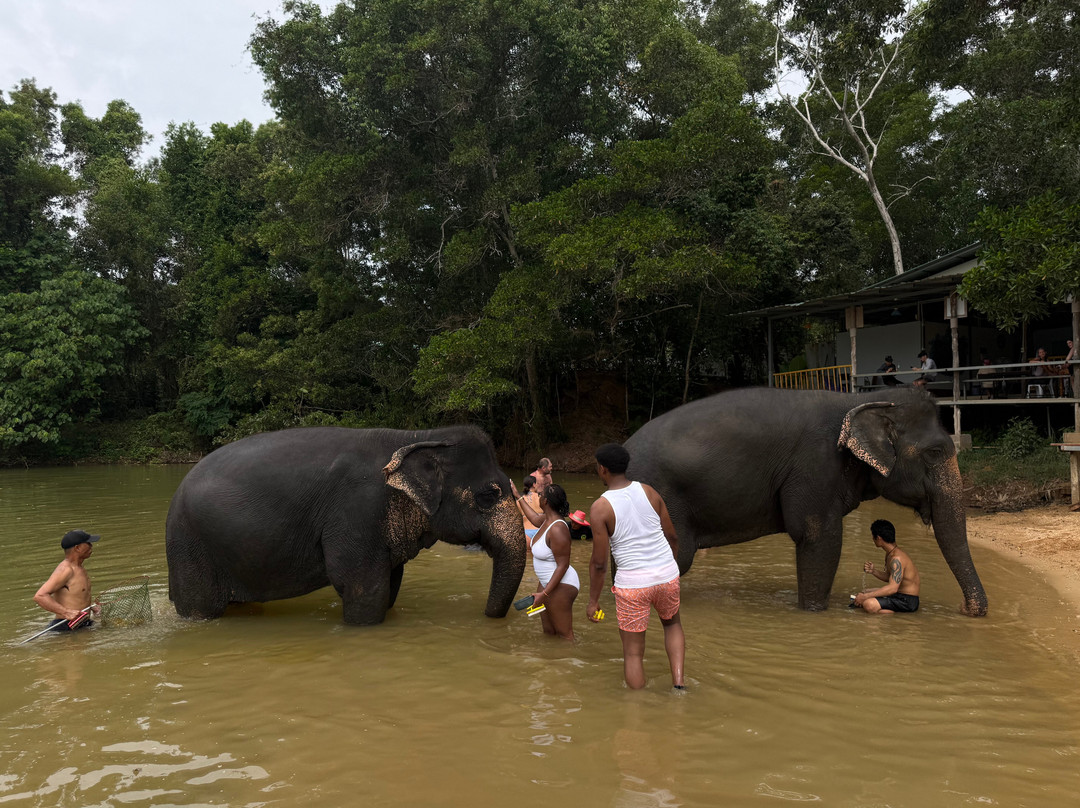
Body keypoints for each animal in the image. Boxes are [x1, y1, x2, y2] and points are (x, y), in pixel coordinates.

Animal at [165, 425, 527, 625]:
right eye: (489, 495)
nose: (483, 615)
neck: (422, 436)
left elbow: (390, 585)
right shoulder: (357, 511)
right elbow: (364, 589)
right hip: (190, 549)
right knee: (200, 609)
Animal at [624, 386, 988, 616]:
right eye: (935, 452)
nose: (966, 609)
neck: (863, 399)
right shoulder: (815, 466)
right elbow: (819, 537)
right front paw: (814, 614)